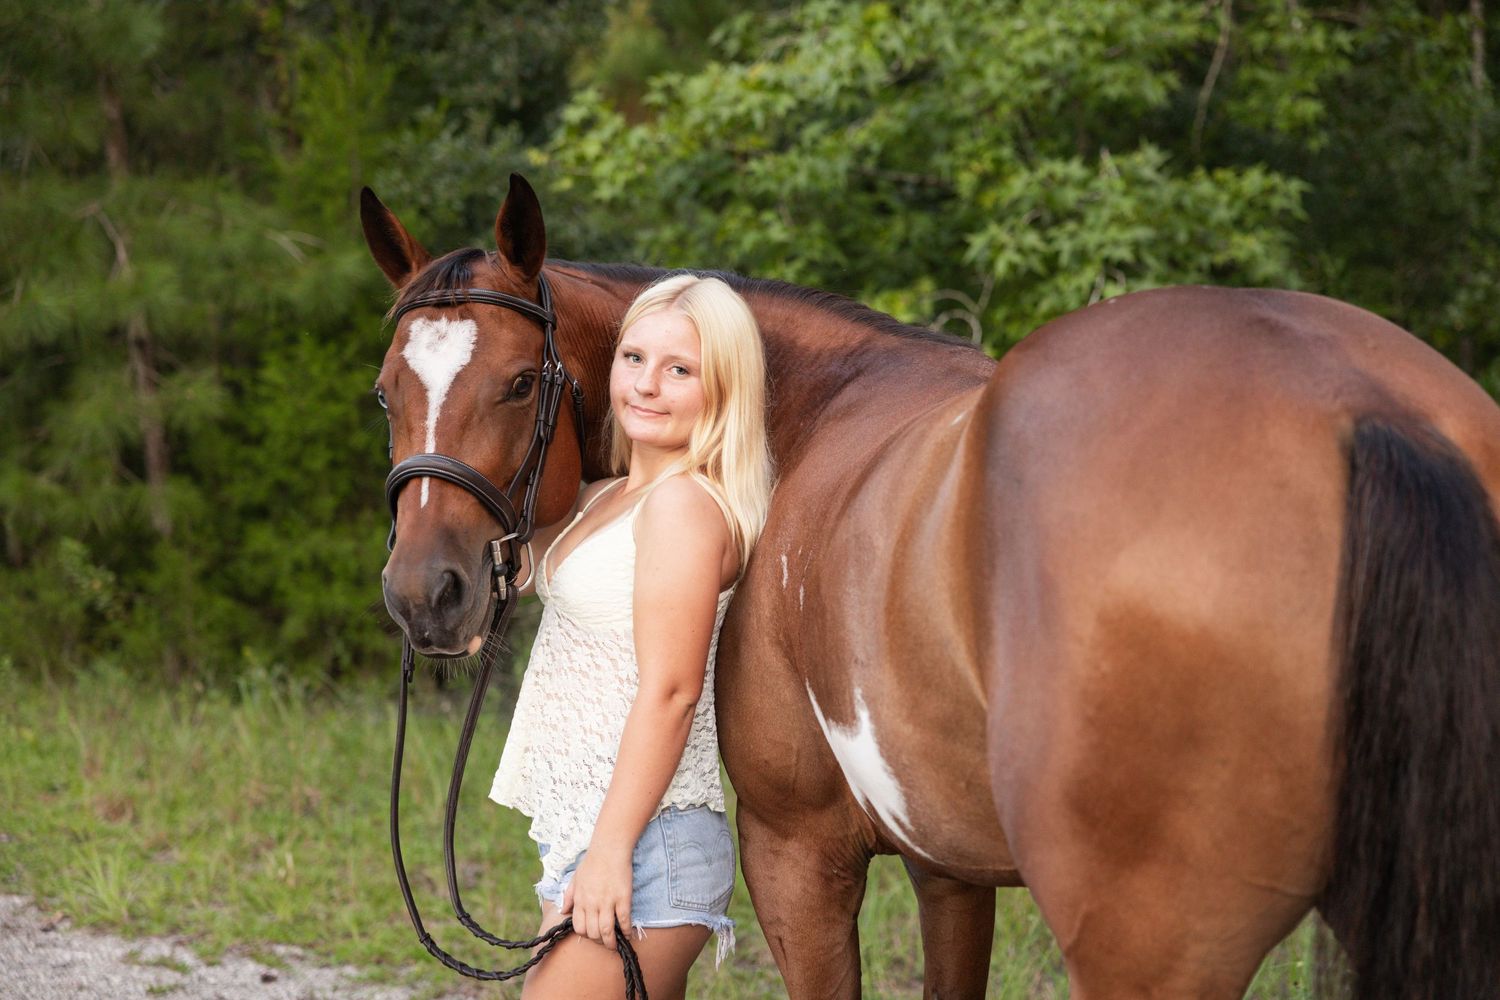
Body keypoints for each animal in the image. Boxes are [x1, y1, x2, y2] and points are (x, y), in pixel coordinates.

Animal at [365, 174, 1500, 999]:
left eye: (520, 382)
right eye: (385, 392)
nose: (426, 593)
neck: (799, 420)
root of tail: (1364, 409)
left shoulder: (797, 852)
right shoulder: (949, 867)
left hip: (1150, 946)